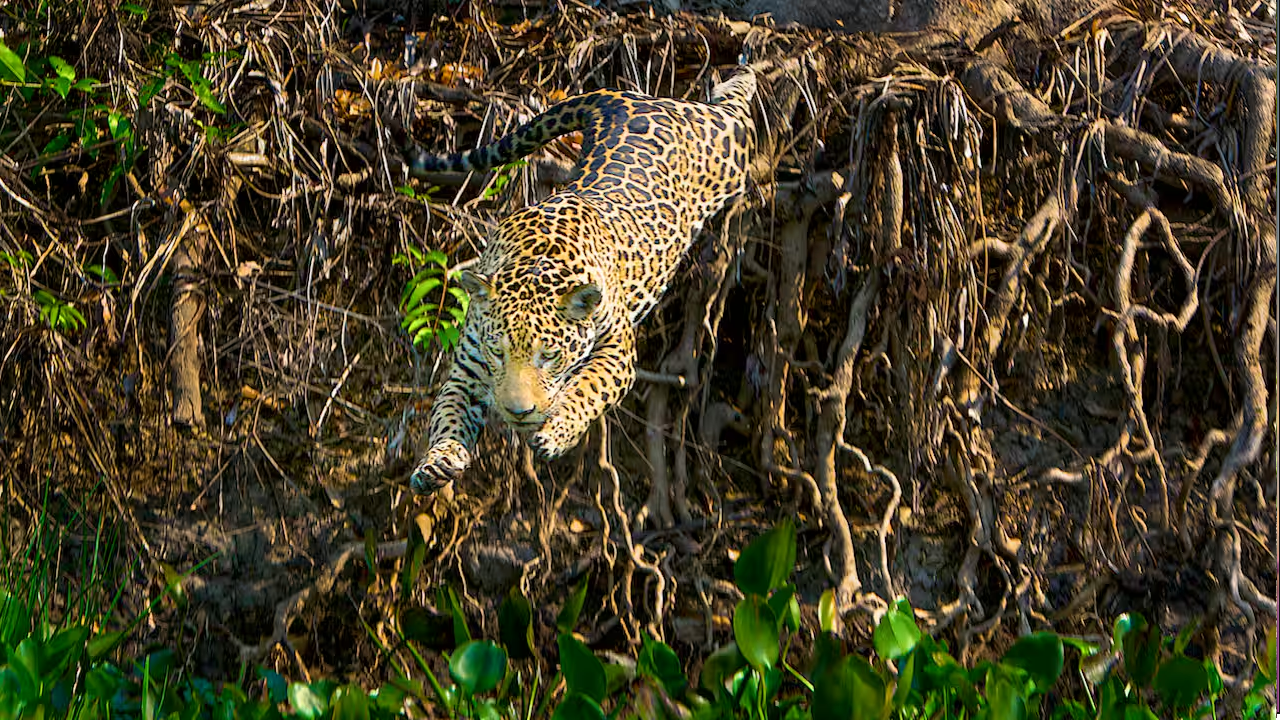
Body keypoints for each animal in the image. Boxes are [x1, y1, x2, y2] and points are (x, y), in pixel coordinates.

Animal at [408, 68, 757, 494]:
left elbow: (587, 389)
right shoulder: (468, 367)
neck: (535, 262)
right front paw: (438, 460)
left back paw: (742, 77)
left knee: (735, 114)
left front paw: (556, 432)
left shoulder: (617, 352)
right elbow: (447, 411)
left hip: (728, 151)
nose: (518, 412)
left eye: (548, 356)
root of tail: (620, 98)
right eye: (498, 353)